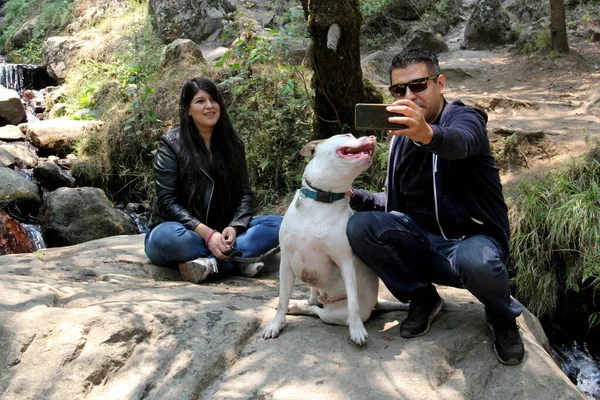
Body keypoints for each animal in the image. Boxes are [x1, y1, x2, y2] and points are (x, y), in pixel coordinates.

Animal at [262, 133, 408, 346]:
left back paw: (300, 307)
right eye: (347, 135)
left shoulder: (345, 262)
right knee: (313, 300)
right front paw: (275, 325)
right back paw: (297, 304)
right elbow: (281, 299)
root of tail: (376, 303)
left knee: (318, 311)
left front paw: (357, 329)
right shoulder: (287, 263)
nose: (372, 136)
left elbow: (353, 303)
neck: (322, 200)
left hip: (334, 314)